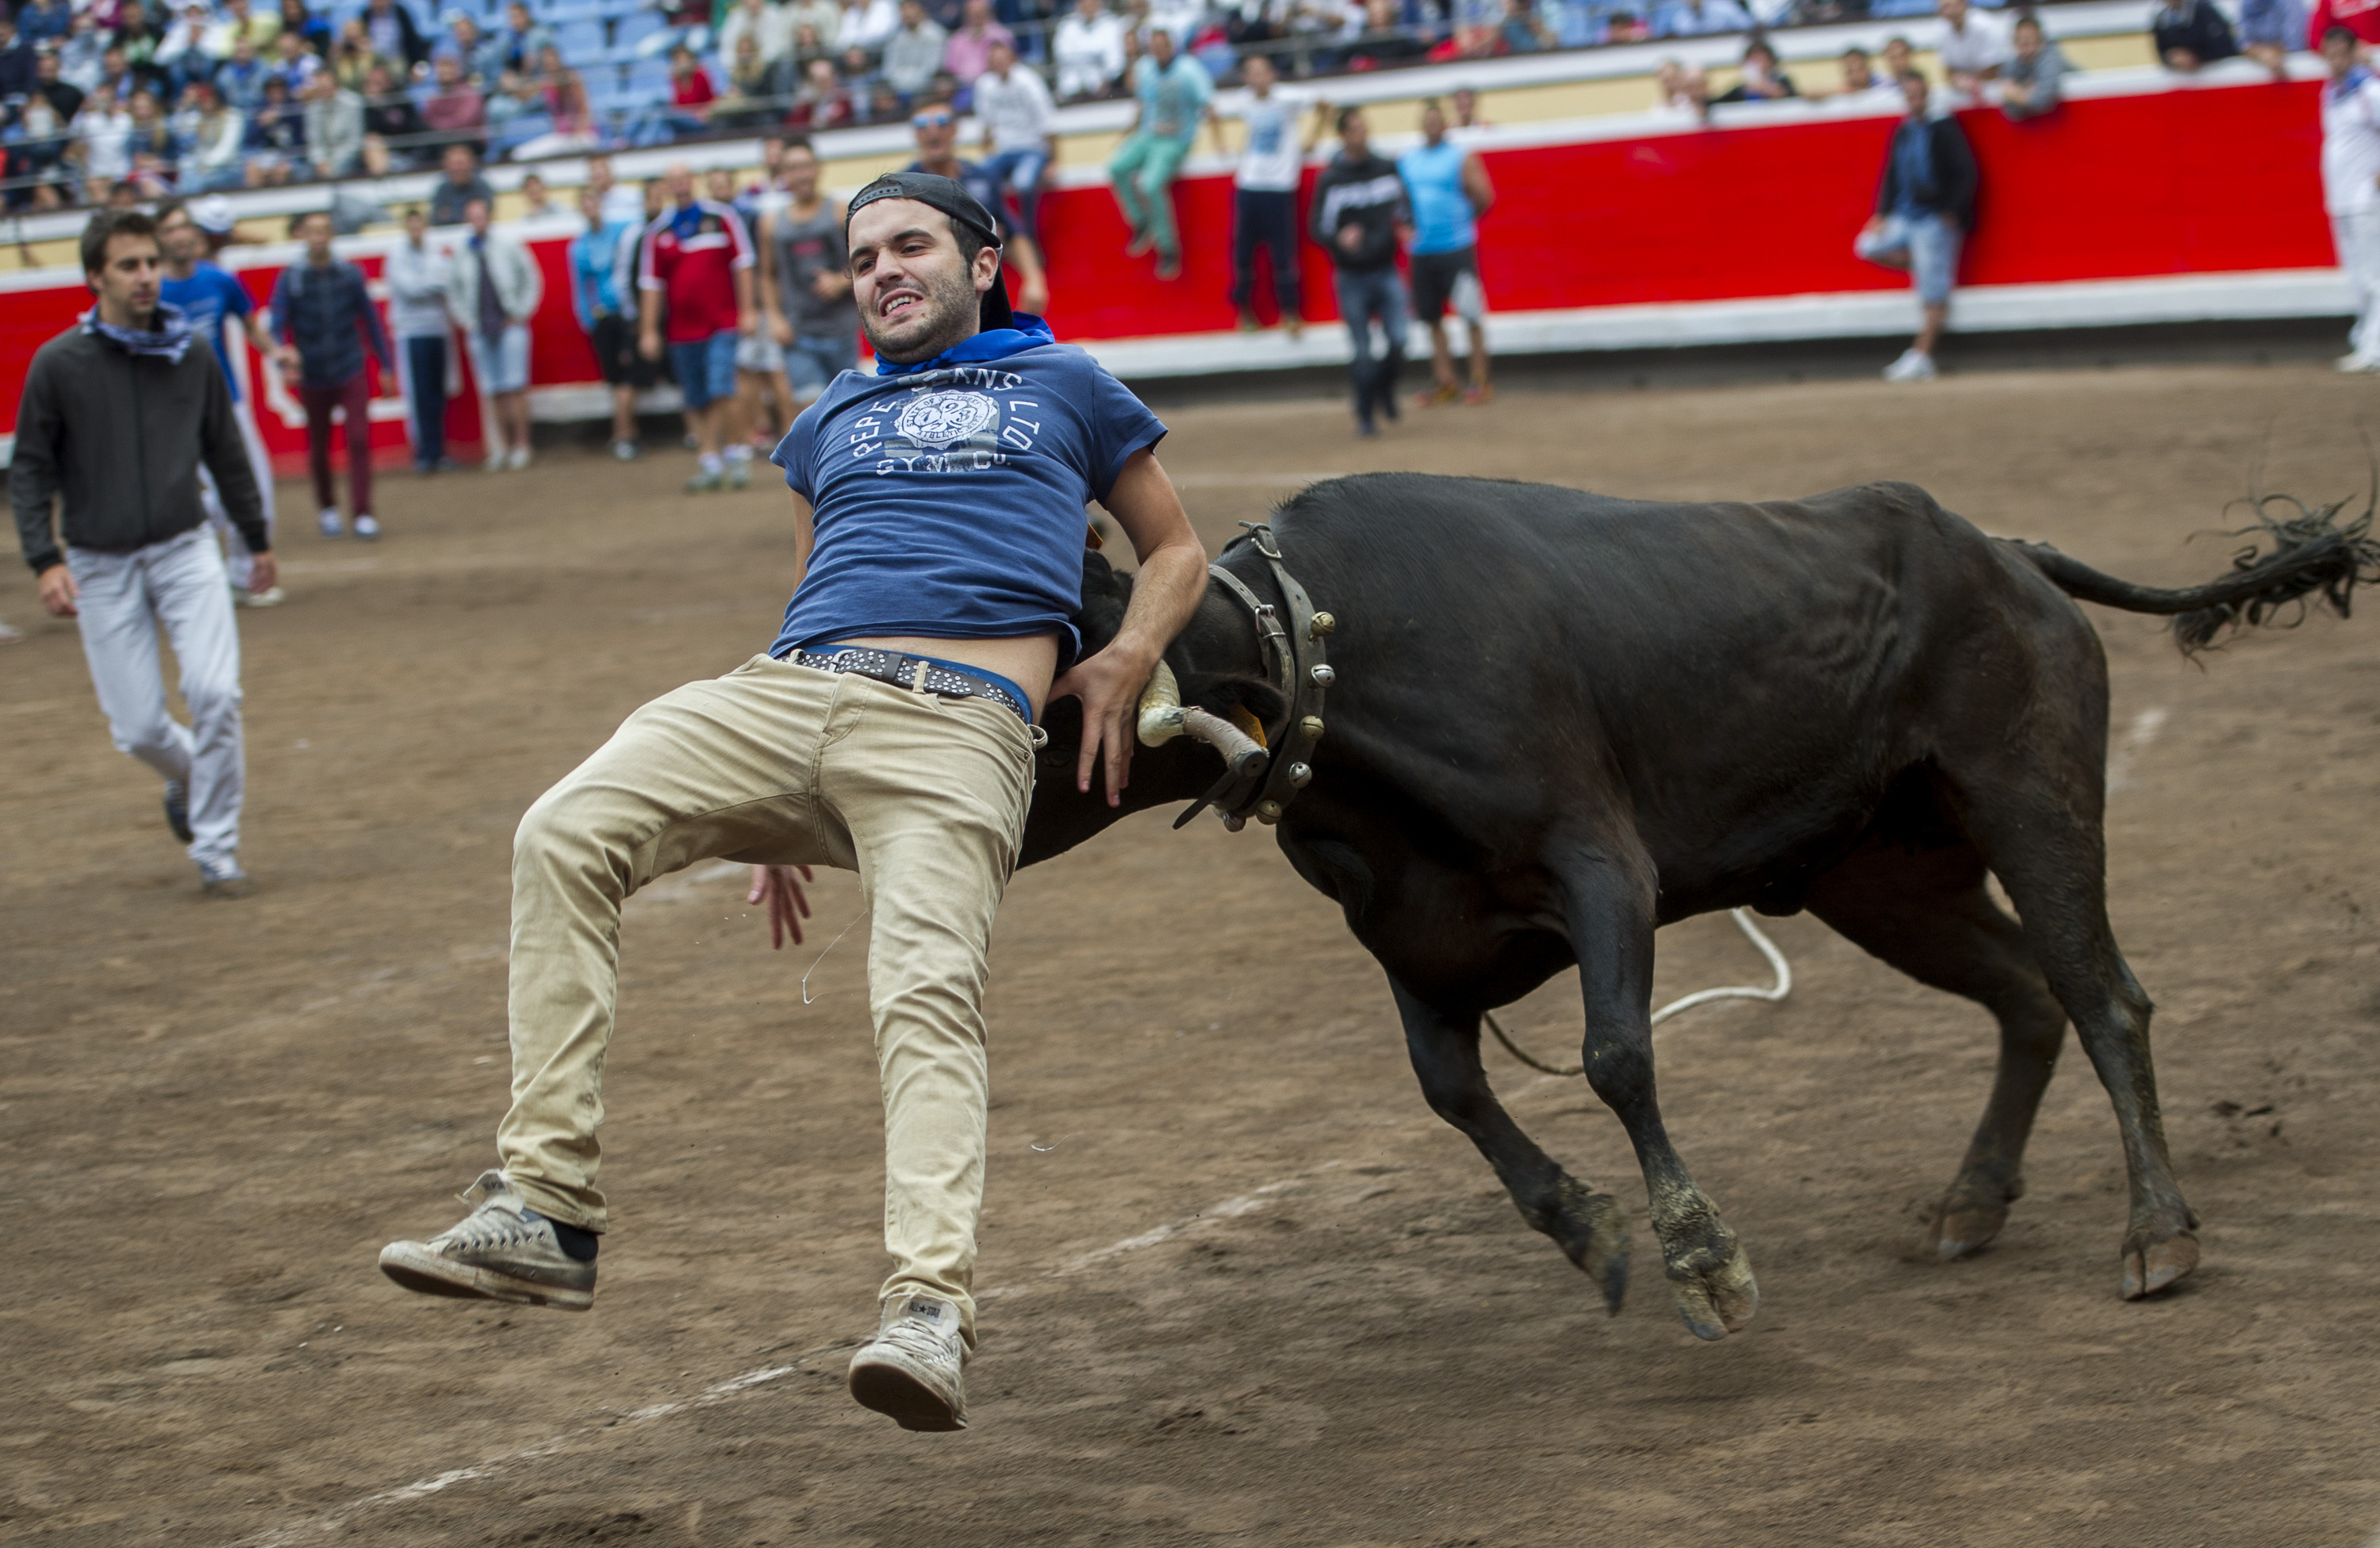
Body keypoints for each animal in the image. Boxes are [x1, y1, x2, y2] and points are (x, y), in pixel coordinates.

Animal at [1023, 474, 2380, 1333]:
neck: (1328, 649)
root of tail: (2006, 553)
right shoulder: (1414, 940)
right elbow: (1452, 1091)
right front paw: (1589, 1229)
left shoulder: (1602, 866)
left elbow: (1615, 1054)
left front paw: (1704, 1257)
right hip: (1881, 876)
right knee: (2025, 994)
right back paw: (1971, 1200)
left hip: (2031, 797)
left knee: (2103, 993)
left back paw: (2158, 1231)